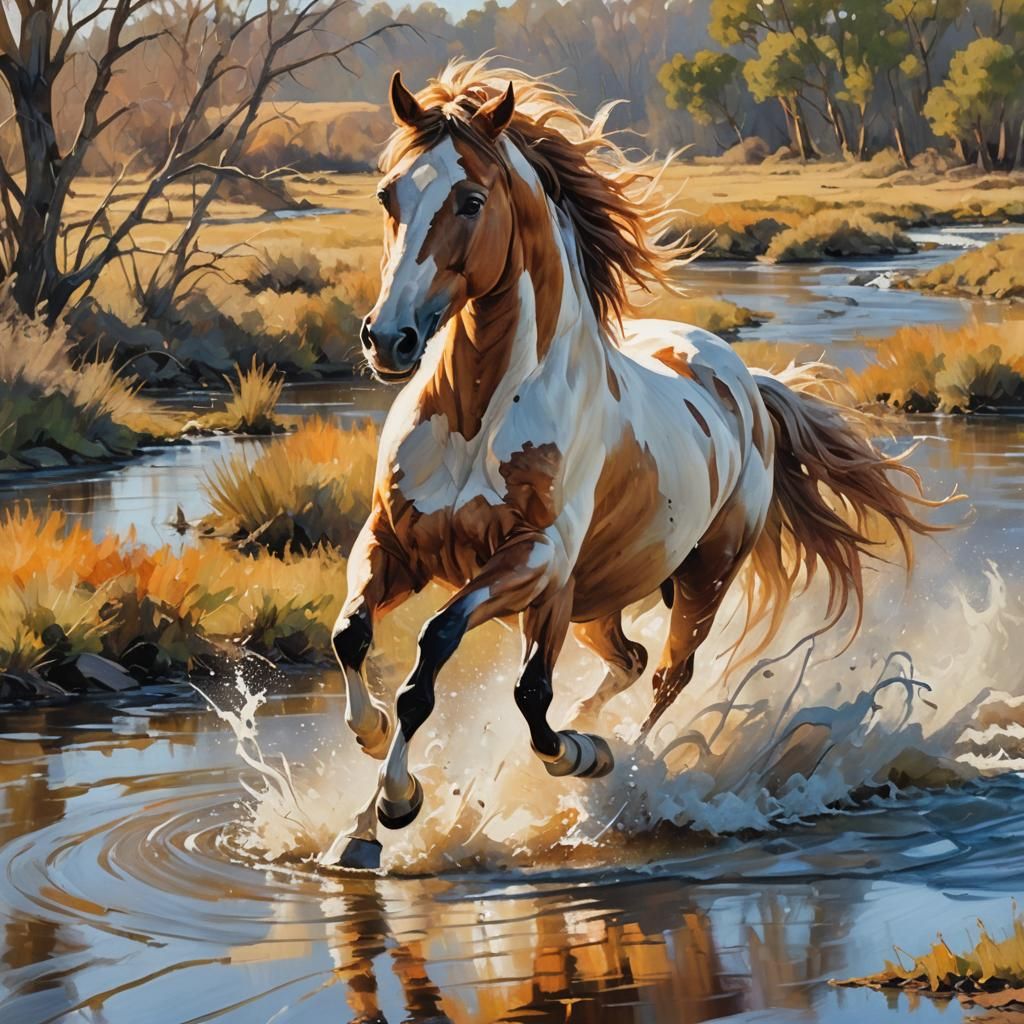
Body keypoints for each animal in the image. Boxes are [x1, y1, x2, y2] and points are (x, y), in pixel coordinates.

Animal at [325, 59, 946, 870]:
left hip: (692, 584)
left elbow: (454, 664)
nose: (388, 339)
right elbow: (353, 638)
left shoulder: (535, 561)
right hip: (595, 601)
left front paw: (408, 799)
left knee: (663, 678)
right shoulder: (395, 542)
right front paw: (366, 794)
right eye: (387, 194)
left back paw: (617, 771)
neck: (479, 416)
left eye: (470, 200)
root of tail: (745, 384)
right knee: (626, 659)